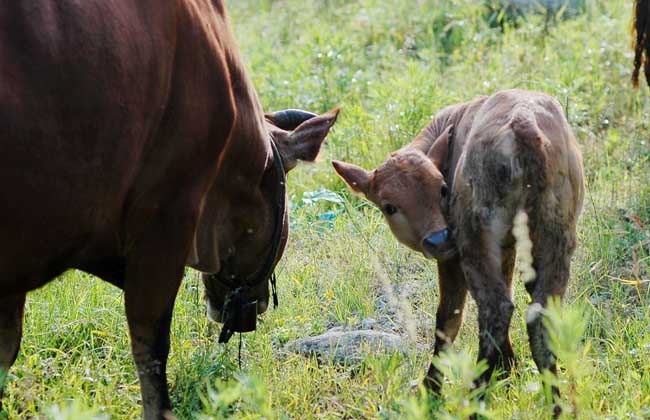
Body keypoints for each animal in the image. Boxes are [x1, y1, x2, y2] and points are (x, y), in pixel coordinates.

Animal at [334, 88, 584, 414]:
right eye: (389, 206)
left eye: (443, 188)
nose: (439, 239)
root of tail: (524, 124)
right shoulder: (507, 248)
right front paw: (510, 368)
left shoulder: (453, 258)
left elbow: (448, 318)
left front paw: (431, 389)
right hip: (556, 236)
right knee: (537, 313)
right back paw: (555, 402)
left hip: (473, 242)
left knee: (493, 308)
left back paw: (475, 398)